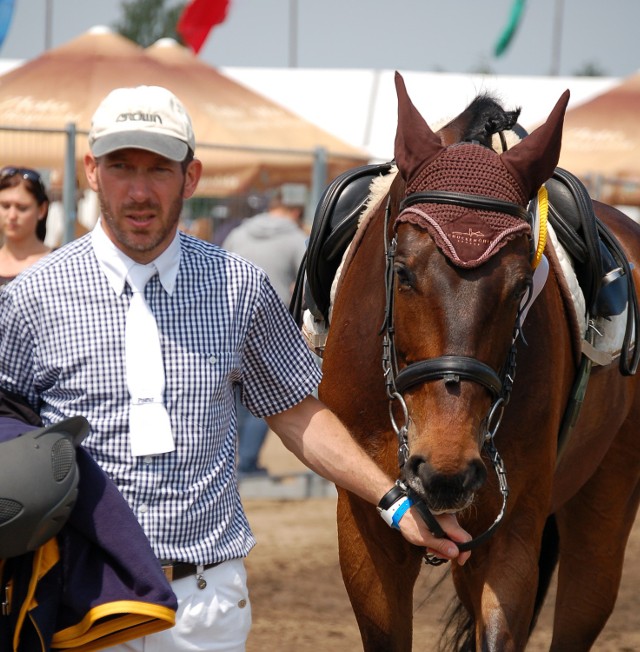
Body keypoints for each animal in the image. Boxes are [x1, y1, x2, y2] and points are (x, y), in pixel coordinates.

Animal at [318, 74, 640, 648]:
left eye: (520, 287)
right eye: (402, 272)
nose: (446, 472)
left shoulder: (512, 527)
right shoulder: (365, 524)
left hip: (607, 500)